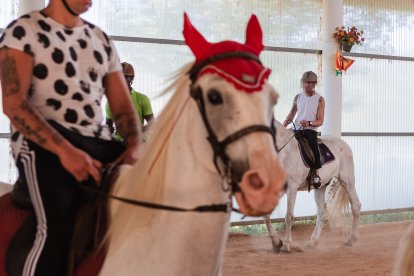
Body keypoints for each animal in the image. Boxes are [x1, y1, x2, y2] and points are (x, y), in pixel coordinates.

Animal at [264, 121, 360, 252]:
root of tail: (343, 144)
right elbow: (266, 215)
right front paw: (276, 242)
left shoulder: (292, 188)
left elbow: (289, 216)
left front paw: (287, 244)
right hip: (320, 187)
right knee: (322, 213)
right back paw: (313, 241)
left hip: (347, 181)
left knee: (355, 206)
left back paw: (351, 239)